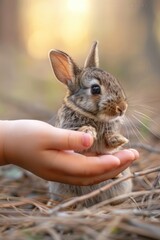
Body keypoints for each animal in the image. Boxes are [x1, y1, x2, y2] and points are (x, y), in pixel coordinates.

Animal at [48, 41, 132, 206]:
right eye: (95, 88)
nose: (122, 108)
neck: (92, 116)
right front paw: (88, 131)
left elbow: (107, 145)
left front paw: (118, 139)